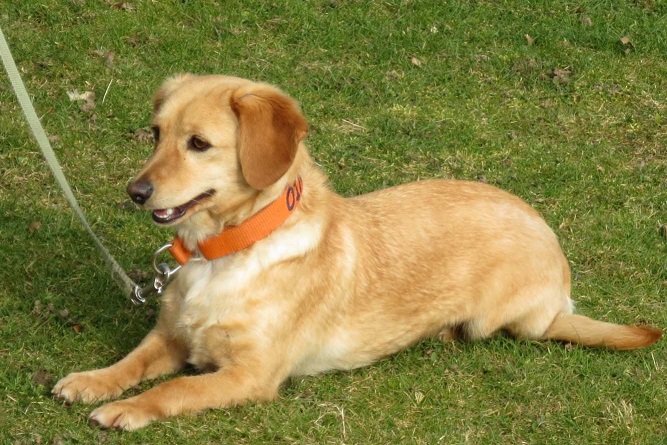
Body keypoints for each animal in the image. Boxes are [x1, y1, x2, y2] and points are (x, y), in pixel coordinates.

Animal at [52, 74, 662, 430]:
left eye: (199, 144)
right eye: (155, 134)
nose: (135, 192)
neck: (225, 252)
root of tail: (556, 261)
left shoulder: (250, 375)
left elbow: (175, 387)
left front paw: (130, 409)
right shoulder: (171, 336)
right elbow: (133, 362)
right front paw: (93, 381)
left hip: (502, 318)